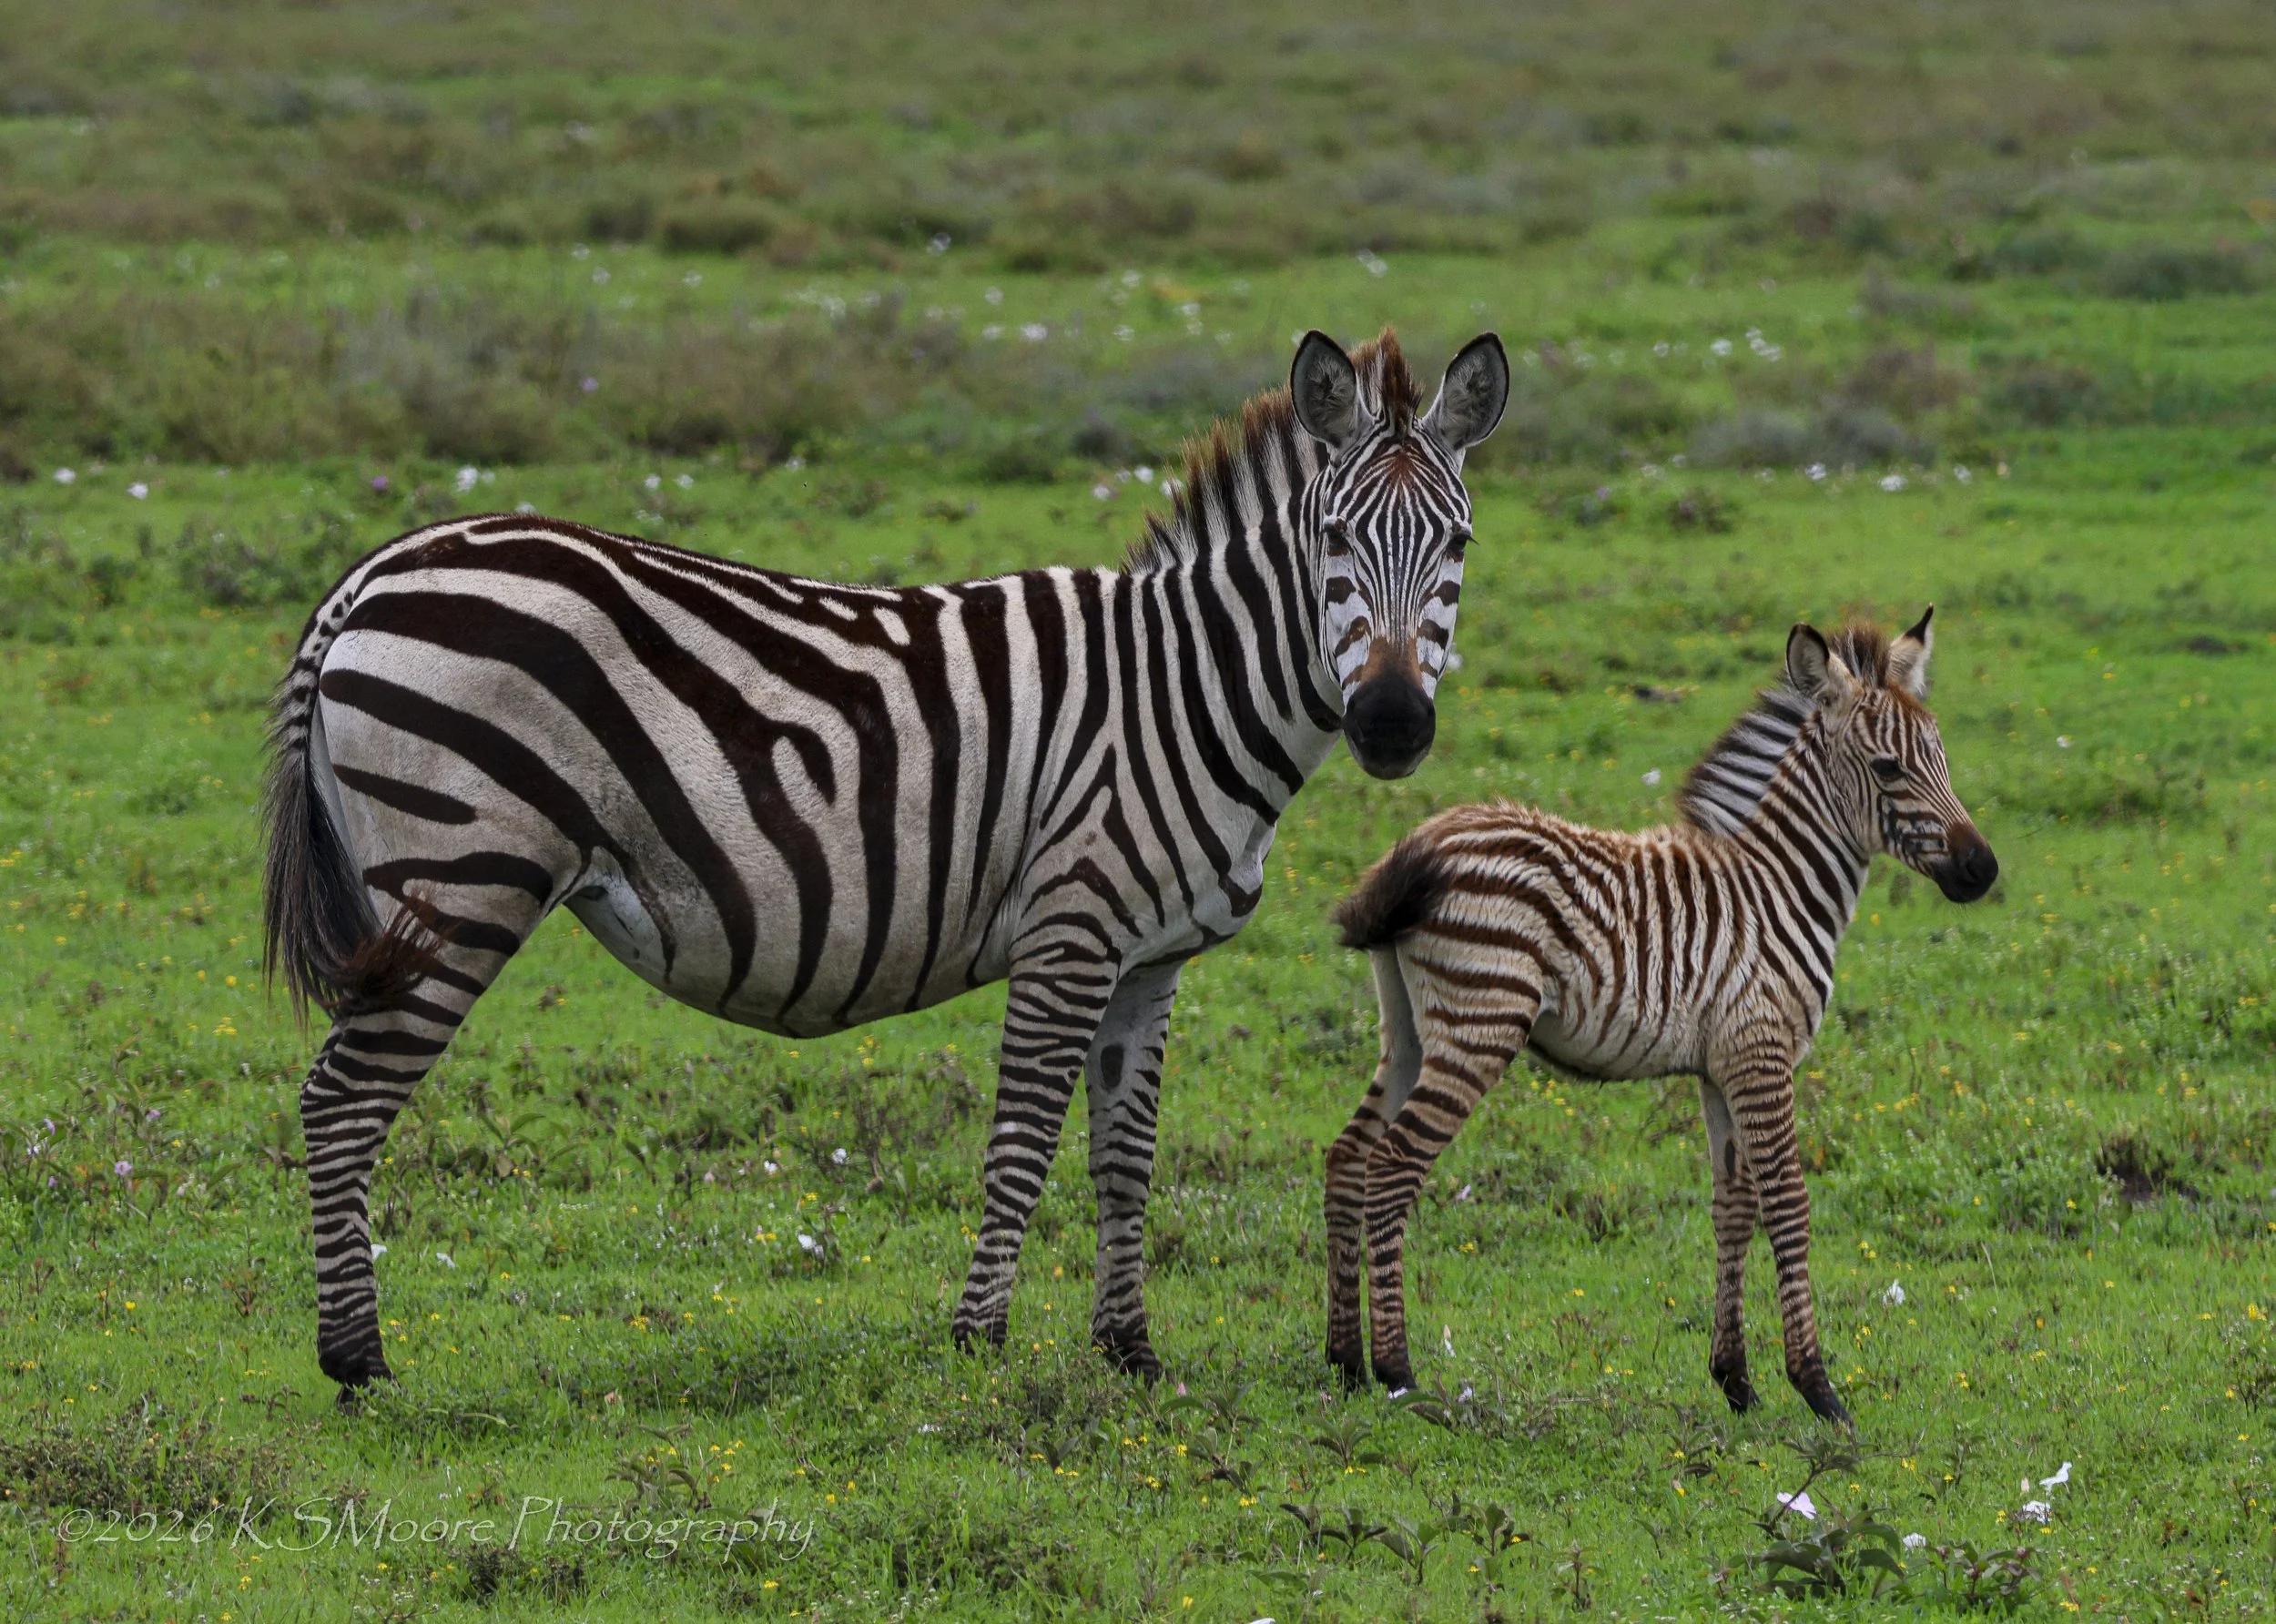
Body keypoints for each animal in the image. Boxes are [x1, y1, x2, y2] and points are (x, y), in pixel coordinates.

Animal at [264, 327, 1510, 1395]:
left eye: (1458, 544)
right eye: (1333, 540)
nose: (1392, 723)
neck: (1183, 686)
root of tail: (374, 572)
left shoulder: (1149, 958)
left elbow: (1125, 1156)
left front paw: (1130, 1353)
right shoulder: (1071, 924)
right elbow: (1021, 1143)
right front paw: (979, 1340)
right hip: (460, 882)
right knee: (342, 1100)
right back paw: (358, 1362)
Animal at [1324, 612, 1996, 1424]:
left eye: (1942, 759)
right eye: (1890, 768)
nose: (1983, 870)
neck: (1780, 884)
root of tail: (1419, 845)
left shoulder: (1721, 1066)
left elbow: (1733, 1207)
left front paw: (1736, 1380)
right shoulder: (1762, 1052)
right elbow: (1788, 1204)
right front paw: (1817, 1386)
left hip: (1407, 1028)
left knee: (1348, 1157)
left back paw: (1344, 1361)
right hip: (1479, 1022)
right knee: (1393, 1166)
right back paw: (1397, 1369)